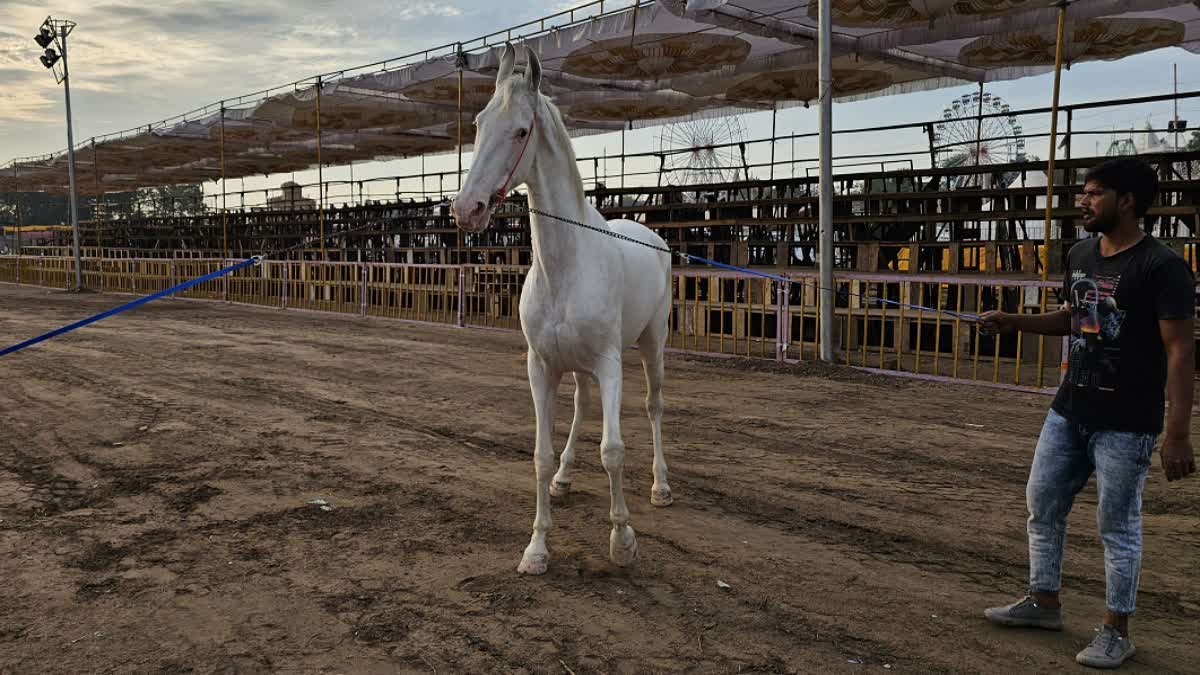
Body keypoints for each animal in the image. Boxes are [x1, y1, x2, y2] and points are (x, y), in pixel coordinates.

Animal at [451, 43, 676, 571]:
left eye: (520, 131)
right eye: (478, 123)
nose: (466, 209)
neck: (566, 265)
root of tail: (653, 237)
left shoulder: (611, 364)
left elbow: (613, 451)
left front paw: (623, 539)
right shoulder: (542, 366)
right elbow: (540, 454)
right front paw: (536, 548)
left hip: (652, 344)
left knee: (654, 407)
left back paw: (661, 486)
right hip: (578, 364)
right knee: (582, 407)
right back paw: (566, 479)